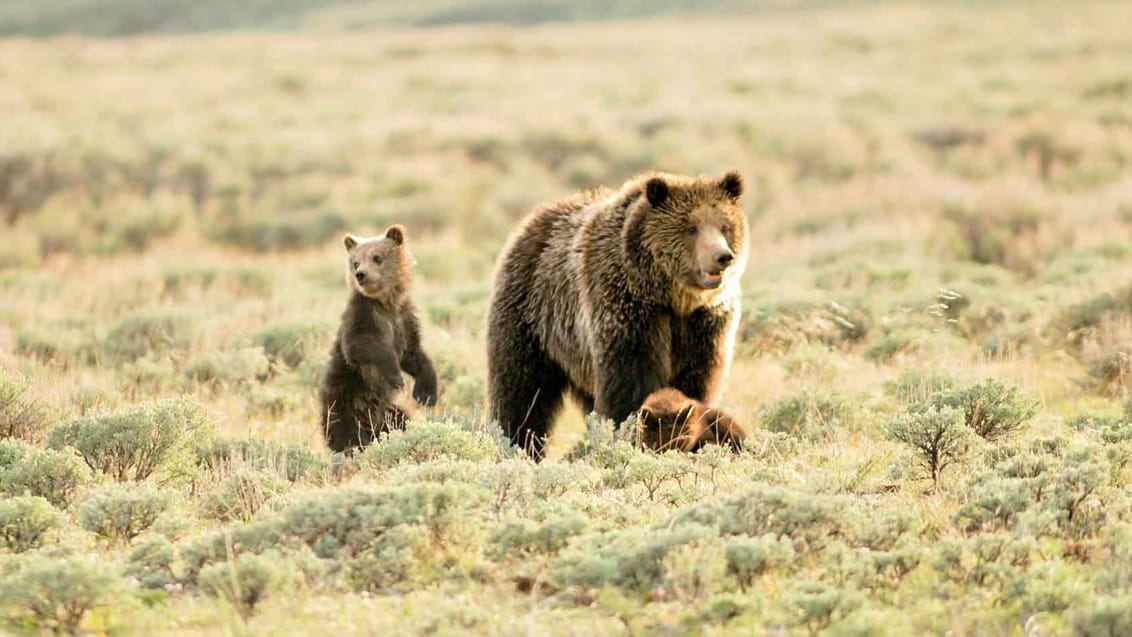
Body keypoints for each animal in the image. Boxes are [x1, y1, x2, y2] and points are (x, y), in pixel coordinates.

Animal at [323, 224, 441, 452]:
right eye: (355, 261)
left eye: (377, 257)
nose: (360, 274)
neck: (386, 303)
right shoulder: (364, 316)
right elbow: (362, 346)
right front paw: (396, 377)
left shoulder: (404, 319)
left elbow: (414, 354)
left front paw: (426, 394)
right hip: (345, 401)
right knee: (346, 433)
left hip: (388, 411)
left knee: (400, 419)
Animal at [484, 169, 742, 459]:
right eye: (690, 227)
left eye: (724, 226)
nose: (722, 256)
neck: (671, 299)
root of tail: (529, 223)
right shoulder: (626, 309)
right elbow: (629, 382)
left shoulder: (704, 324)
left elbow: (698, 380)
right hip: (532, 315)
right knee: (522, 388)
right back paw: (517, 442)